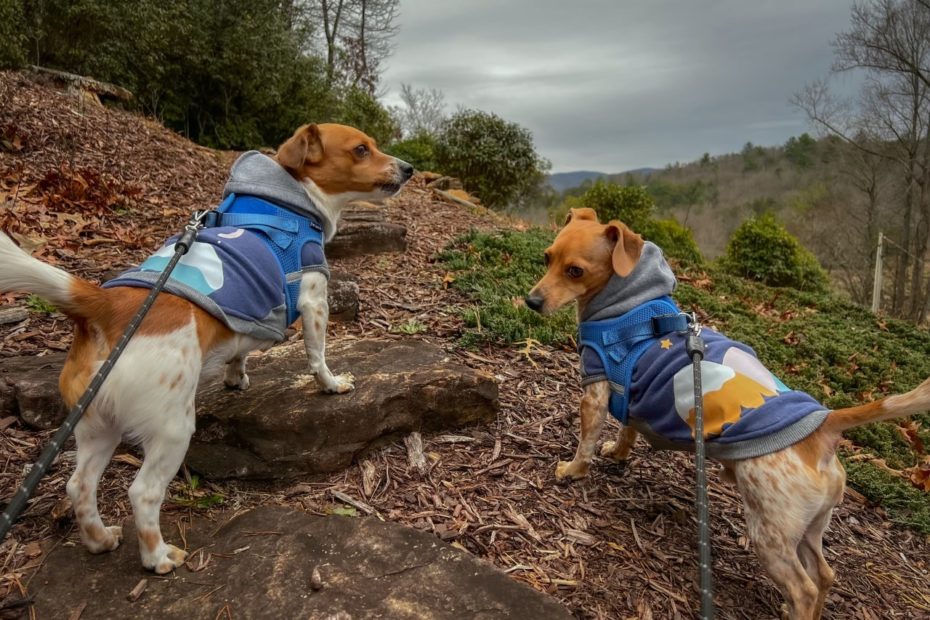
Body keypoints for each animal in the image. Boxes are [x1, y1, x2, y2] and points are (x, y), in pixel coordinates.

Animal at [0, 123, 414, 572]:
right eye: (361, 149)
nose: (409, 168)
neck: (286, 204)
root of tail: (107, 307)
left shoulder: (248, 315)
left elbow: (240, 345)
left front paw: (236, 375)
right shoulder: (314, 298)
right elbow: (317, 354)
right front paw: (331, 383)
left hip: (98, 425)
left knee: (79, 486)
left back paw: (99, 539)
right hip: (173, 427)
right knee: (143, 493)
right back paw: (157, 556)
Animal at [520, 207, 928, 620]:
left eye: (575, 271)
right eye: (547, 258)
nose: (531, 301)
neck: (630, 306)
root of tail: (823, 427)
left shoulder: (596, 390)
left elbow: (586, 441)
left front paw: (572, 470)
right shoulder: (629, 394)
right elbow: (627, 429)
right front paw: (617, 453)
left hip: (770, 533)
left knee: (805, 588)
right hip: (809, 527)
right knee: (825, 575)